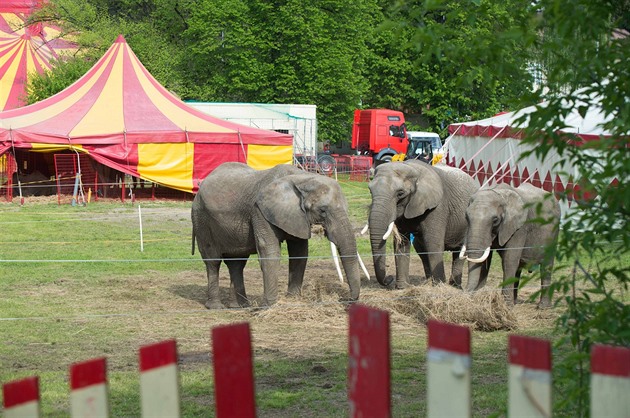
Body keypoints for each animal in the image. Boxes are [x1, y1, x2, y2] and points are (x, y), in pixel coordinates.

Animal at [190, 162, 362, 308]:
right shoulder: (259, 211)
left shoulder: (297, 217)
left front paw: (293, 300)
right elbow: (270, 251)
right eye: (323, 211)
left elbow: (299, 253)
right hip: (201, 219)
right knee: (213, 261)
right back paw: (216, 307)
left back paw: (240, 306)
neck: (302, 178)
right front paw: (270, 306)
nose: (345, 299)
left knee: (237, 263)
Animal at [366, 161, 478, 290]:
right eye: (370, 191)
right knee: (420, 248)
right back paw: (428, 282)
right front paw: (402, 288)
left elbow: (433, 244)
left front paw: (439, 287)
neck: (411, 168)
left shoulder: (437, 207)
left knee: (460, 251)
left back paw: (455, 286)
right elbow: (401, 243)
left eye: (400, 193)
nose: (389, 278)